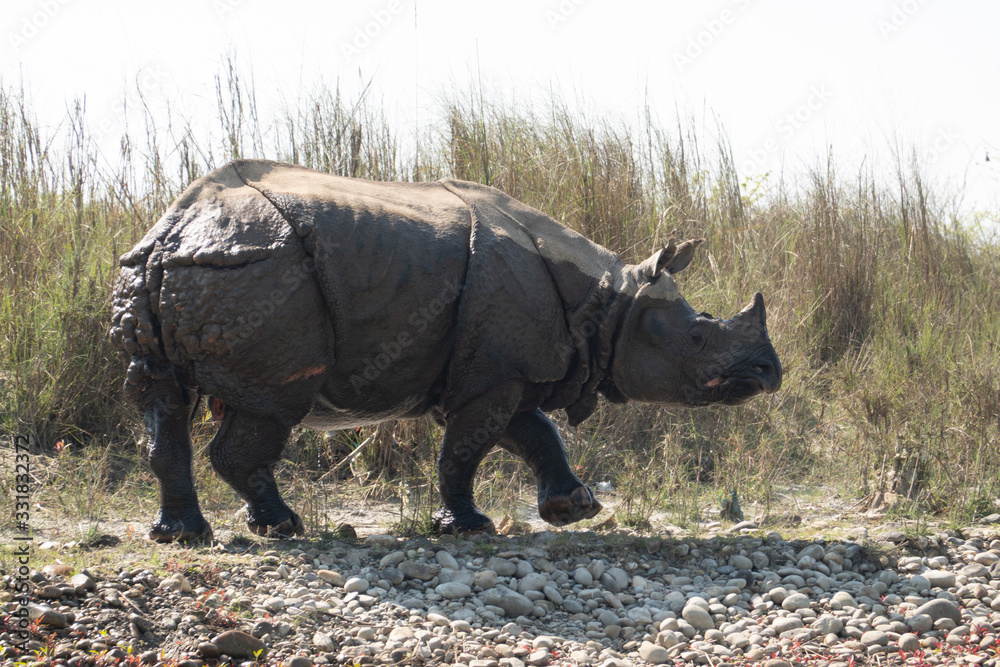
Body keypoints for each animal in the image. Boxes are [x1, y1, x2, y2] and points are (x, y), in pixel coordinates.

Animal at [110, 159, 782, 541]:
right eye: (698, 337)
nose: (769, 373)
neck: (610, 302)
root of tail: (171, 231)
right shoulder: (494, 375)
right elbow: (466, 451)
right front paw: (469, 528)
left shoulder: (504, 368)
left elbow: (534, 433)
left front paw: (575, 509)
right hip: (263, 275)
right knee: (270, 406)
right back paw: (282, 527)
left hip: (166, 273)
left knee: (163, 400)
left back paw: (184, 536)